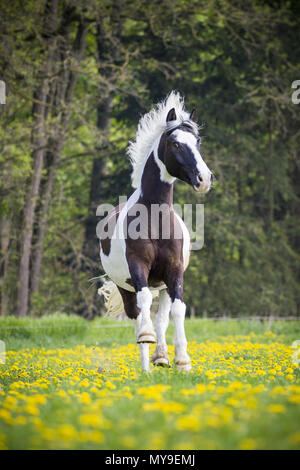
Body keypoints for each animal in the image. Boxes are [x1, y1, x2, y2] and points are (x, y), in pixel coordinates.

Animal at [97, 91, 212, 370]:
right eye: (176, 144)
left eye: (198, 141)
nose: (204, 179)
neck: (155, 220)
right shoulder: (138, 268)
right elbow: (144, 312)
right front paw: (150, 346)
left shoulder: (174, 271)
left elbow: (178, 310)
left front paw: (182, 360)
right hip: (126, 287)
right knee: (138, 316)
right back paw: (147, 368)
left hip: (161, 284)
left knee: (161, 318)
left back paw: (161, 357)